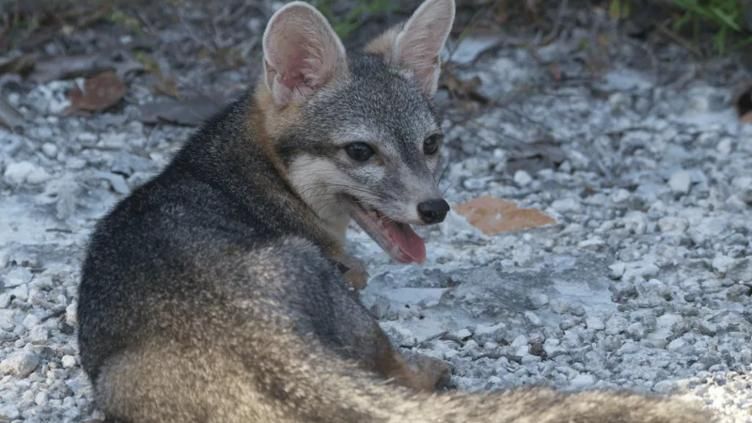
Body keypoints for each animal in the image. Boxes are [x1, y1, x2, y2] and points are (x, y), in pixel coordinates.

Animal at [77, 0, 712, 422]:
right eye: (361, 152)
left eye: (431, 144)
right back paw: (429, 371)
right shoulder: (346, 271)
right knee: (396, 374)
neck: (246, 172)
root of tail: (252, 331)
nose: (435, 208)